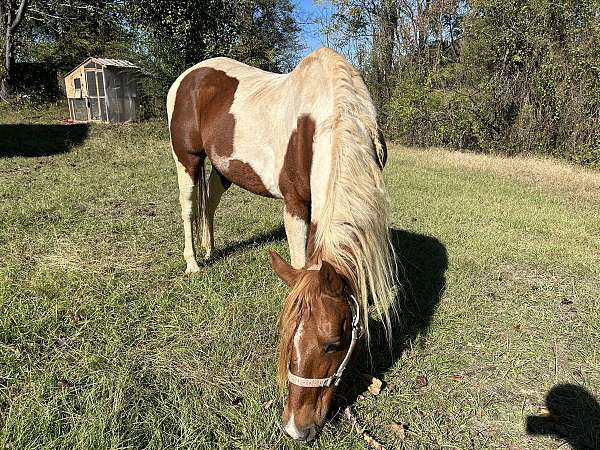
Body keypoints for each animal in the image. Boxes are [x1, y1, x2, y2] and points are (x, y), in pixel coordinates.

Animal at [166, 47, 396, 442]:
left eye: (333, 345)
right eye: (286, 336)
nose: (295, 428)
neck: (325, 116)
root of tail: (189, 76)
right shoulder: (295, 205)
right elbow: (302, 263)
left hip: (223, 168)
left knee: (209, 204)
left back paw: (210, 251)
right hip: (188, 159)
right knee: (189, 206)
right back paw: (194, 262)